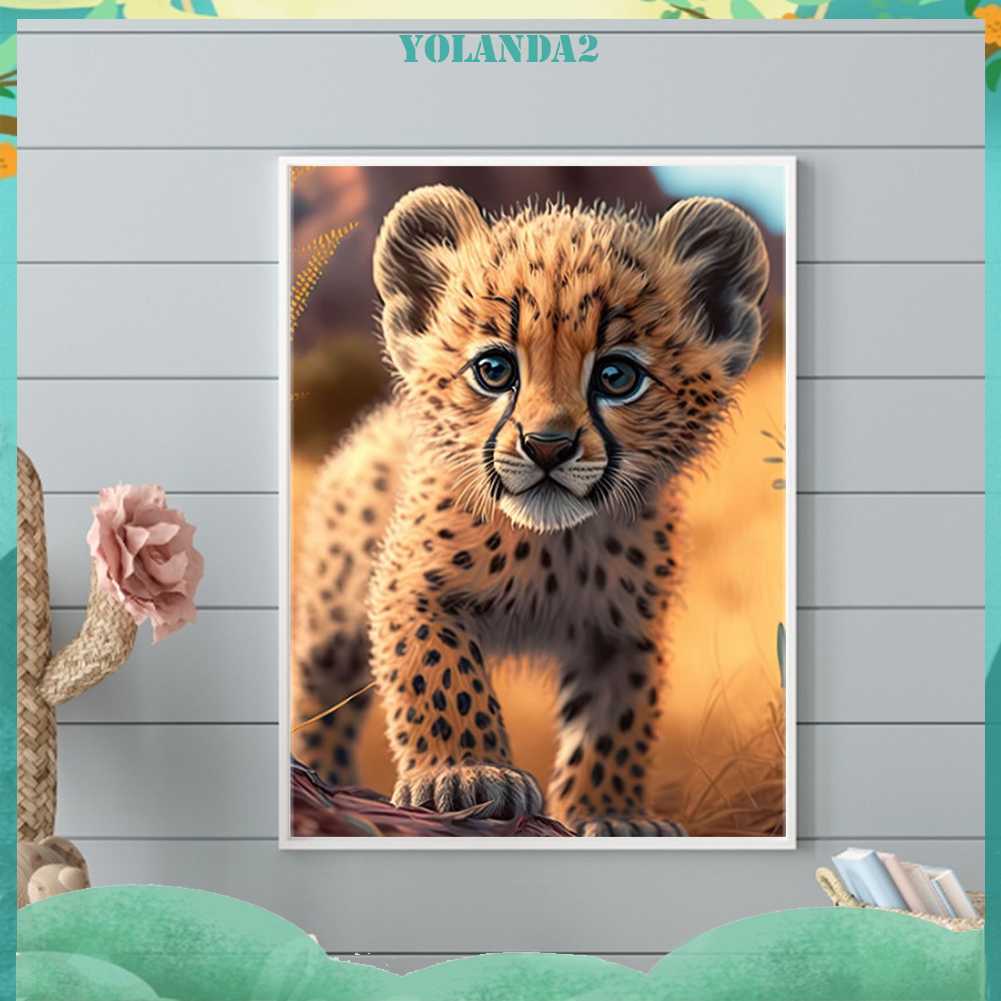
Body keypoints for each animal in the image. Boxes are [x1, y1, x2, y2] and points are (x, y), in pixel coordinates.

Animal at [292, 183, 769, 836]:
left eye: (617, 377)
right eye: (494, 371)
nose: (547, 446)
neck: (554, 545)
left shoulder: (624, 631)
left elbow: (617, 722)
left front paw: (613, 813)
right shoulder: (413, 586)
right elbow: (441, 674)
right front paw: (467, 773)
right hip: (332, 605)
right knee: (320, 687)